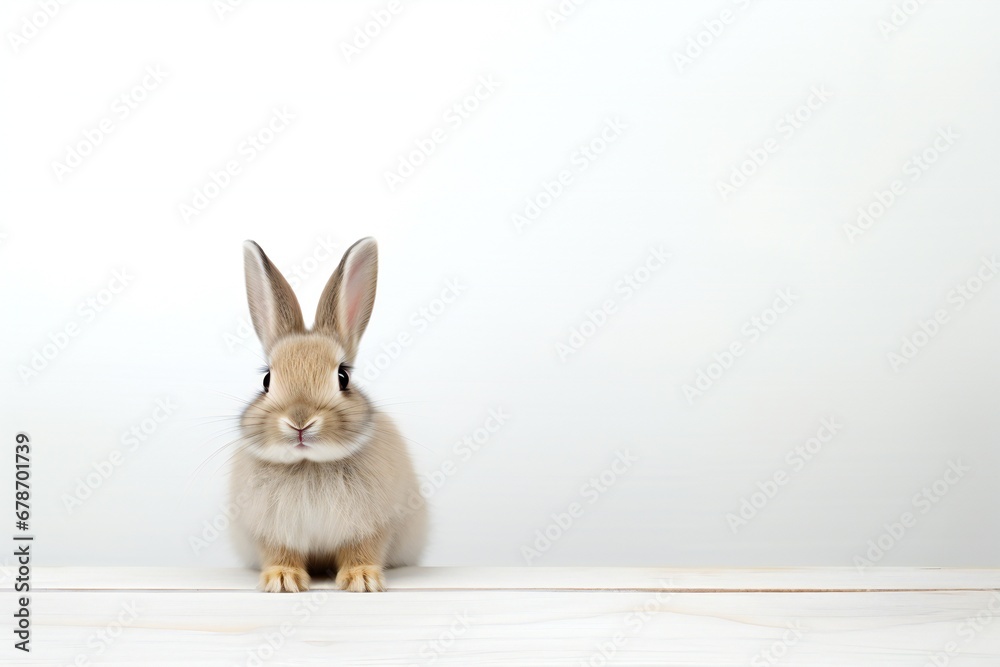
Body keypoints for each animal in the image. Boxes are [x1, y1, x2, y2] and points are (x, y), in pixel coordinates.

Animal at [229, 237, 427, 593]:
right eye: (266, 380)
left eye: (343, 377)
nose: (300, 421)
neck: (309, 463)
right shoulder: (272, 532)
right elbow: (281, 552)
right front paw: (282, 580)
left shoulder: (371, 525)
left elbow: (362, 549)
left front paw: (362, 579)